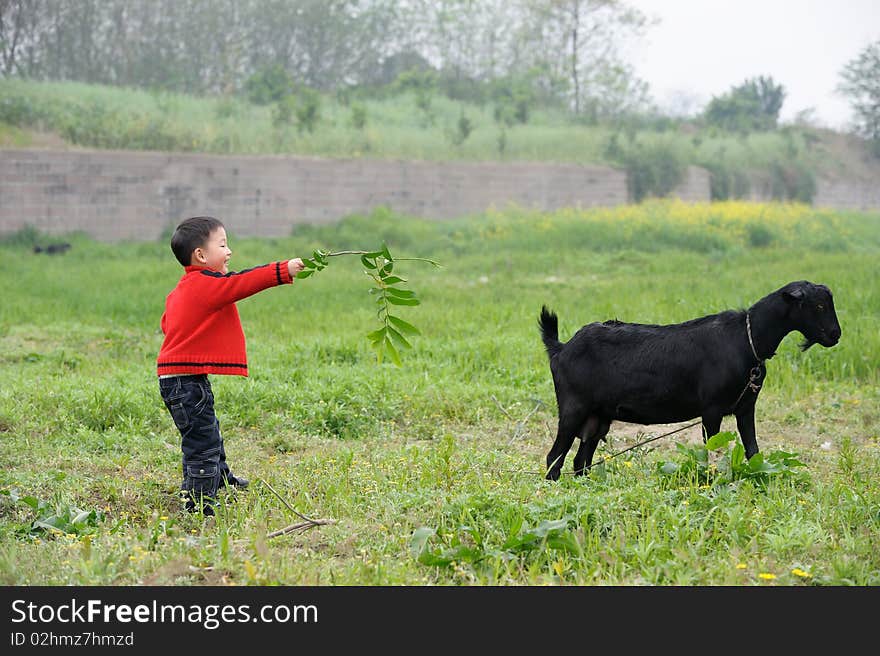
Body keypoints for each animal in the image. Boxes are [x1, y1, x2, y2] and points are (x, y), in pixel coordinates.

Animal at [540, 280, 844, 480]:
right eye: (818, 305)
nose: (835, 335)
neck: (747, 340)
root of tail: (561, 348)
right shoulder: (711, 409)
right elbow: (711, 449)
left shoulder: (746, 407)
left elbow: (753, 450)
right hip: (573, 407)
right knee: (555, 457)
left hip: (598, 417)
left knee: (581, 460)